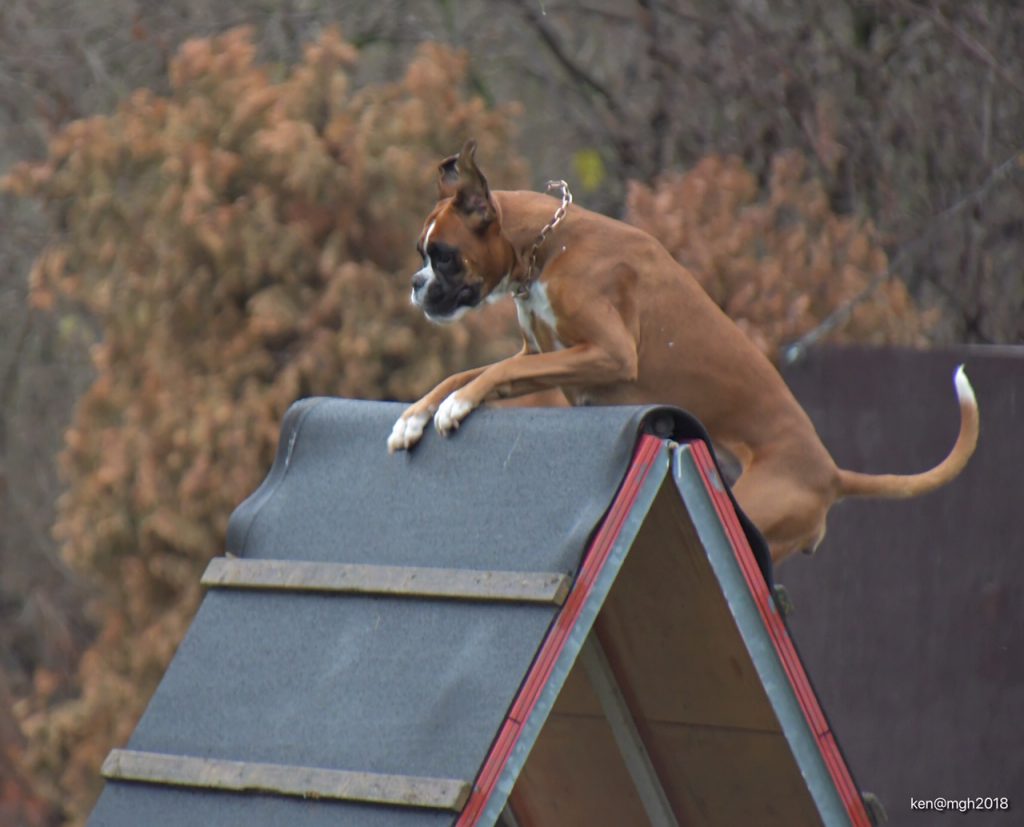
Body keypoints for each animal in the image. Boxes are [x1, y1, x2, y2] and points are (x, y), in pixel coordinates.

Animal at [385, 143, 974, 569]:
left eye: (443, 256)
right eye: (422, 254)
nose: (415, 284)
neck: (546, 246)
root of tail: (829, 472)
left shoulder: (607, 354)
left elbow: (498, 371)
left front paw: (455, 407)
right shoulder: (544, 354)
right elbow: (471, 372)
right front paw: (415, 416)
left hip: (758, 510)